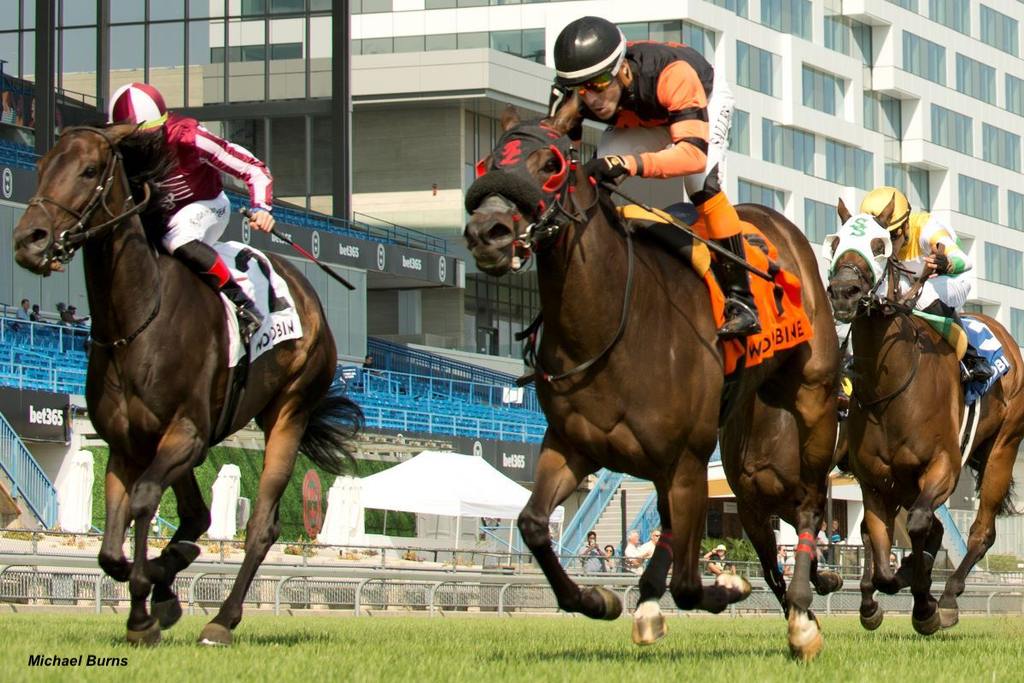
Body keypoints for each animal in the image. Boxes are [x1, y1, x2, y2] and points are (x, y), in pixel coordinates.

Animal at [12, 126, 362, 647]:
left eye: (90, 170)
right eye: (40, 166)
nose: (28, 240)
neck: (138, 320)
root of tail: (307, 292)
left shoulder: (187, 434)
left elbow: (142, 503)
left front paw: (146, 607)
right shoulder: (127, 445)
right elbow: (110, 550)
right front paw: (156, 595)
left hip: (288, 413)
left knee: (261, 525)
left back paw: (222, 619)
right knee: (198, 514)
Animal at [464, 104, 839, 659]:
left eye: (550, 163)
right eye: (487, 161)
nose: (486, 231)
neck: (612, 323)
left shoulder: (686, 462)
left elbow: (688, 583)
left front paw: (730, 585)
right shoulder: (572, 446)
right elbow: (533, 525)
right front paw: (599, 599)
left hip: (813, 397)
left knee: (811, 501)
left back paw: (801, 616)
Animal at [827, 197, 1019, 634]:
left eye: (879, 245)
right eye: (836, 242)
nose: (844, 292)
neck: (890, 387)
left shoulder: (943, 466)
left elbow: (916, 526)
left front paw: (926, 603)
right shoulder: (876, 481)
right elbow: (880, 549)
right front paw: (884, 597)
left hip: (1003, 446)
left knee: (981, 531)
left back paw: (946, 599)